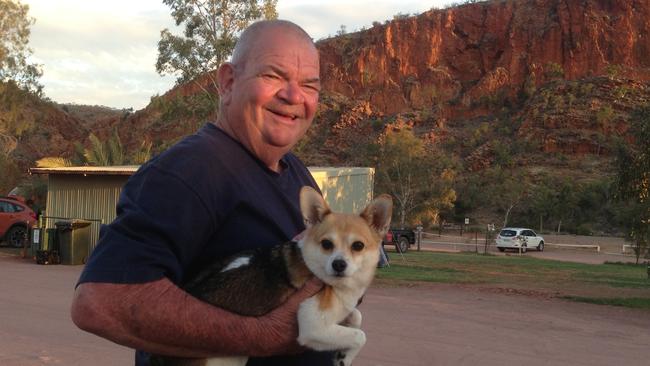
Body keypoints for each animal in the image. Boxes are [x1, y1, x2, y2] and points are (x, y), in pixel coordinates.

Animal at [152, 187, 390, 364]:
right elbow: (360, 336)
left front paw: (344, 347)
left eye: (358, 246)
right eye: (326, 244)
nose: (339, 264)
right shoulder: (313, 327)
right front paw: (346, 357)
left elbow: (356, 317)